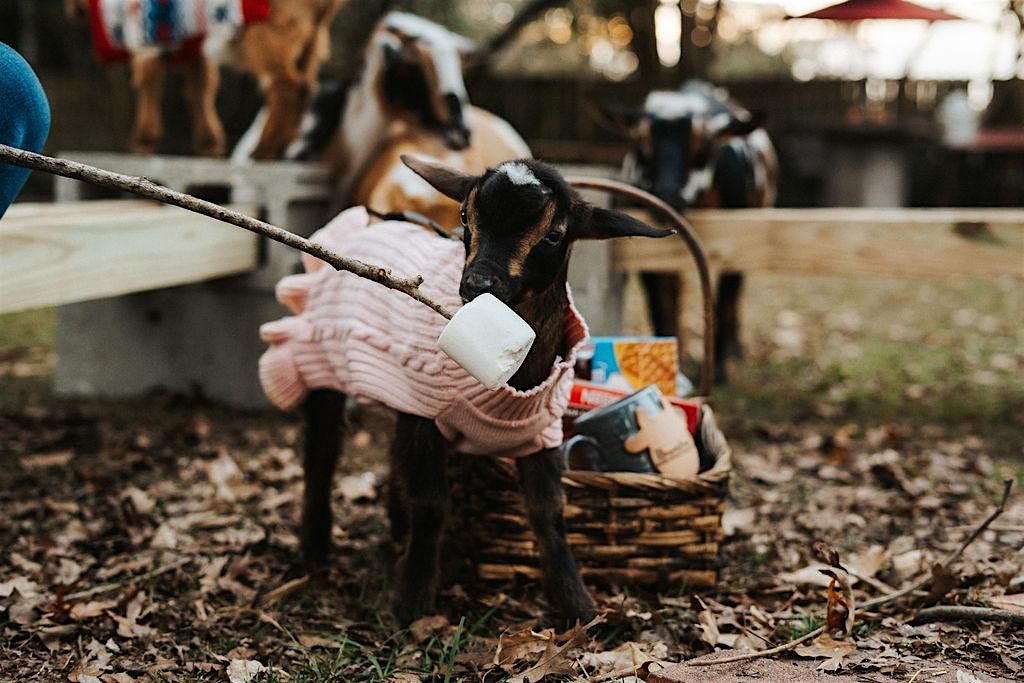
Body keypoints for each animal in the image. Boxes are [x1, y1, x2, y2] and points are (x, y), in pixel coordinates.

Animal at [80, 0, 342, 157]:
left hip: (268, 34)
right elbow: (200, 88)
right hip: (313, 39)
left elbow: (148, 82)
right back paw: (279, 146)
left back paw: (262, 151)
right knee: (304, 86)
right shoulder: (195, 48)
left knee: (286, 86)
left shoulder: (144, 40)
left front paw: (143, 143)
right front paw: (209, 145)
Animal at [257, 157, 673, 624]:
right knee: (321, 454)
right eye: (463, 216)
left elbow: (548, 512)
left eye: (553, 234)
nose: (478, 284)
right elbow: (431, 503)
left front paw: (576, 605)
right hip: (318, 359)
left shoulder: (541, 431)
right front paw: (413, 601)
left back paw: (394, 532)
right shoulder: (424, 413)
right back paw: (314, 549)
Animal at [601, 81, 778, 382]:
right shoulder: (647, 253)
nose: (665, 196)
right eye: (641, 146)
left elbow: (724, 300)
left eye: (702, 149)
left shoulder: (739, 240)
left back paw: (736, 349)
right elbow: (660, 305)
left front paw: (720, 370)